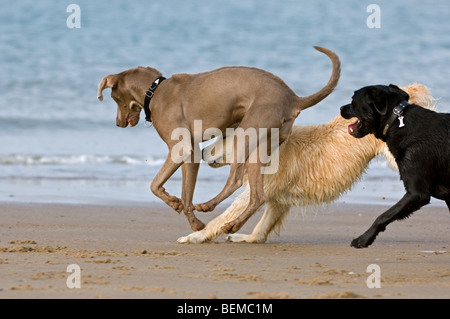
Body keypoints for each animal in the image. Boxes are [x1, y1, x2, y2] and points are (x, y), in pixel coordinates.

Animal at [97, 46, 338, 232]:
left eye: (113, 97)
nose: (118, 123)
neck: (155, 90)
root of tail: (292, 97)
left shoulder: (181, 148)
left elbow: (155, 185)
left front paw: (179, 207)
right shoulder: (192, 153)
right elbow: (184, 193)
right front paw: (190, 218)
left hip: (246, 134)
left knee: (235, 181)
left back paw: (208, 205)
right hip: (261, 146)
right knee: (257, 196)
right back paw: (233, 225)